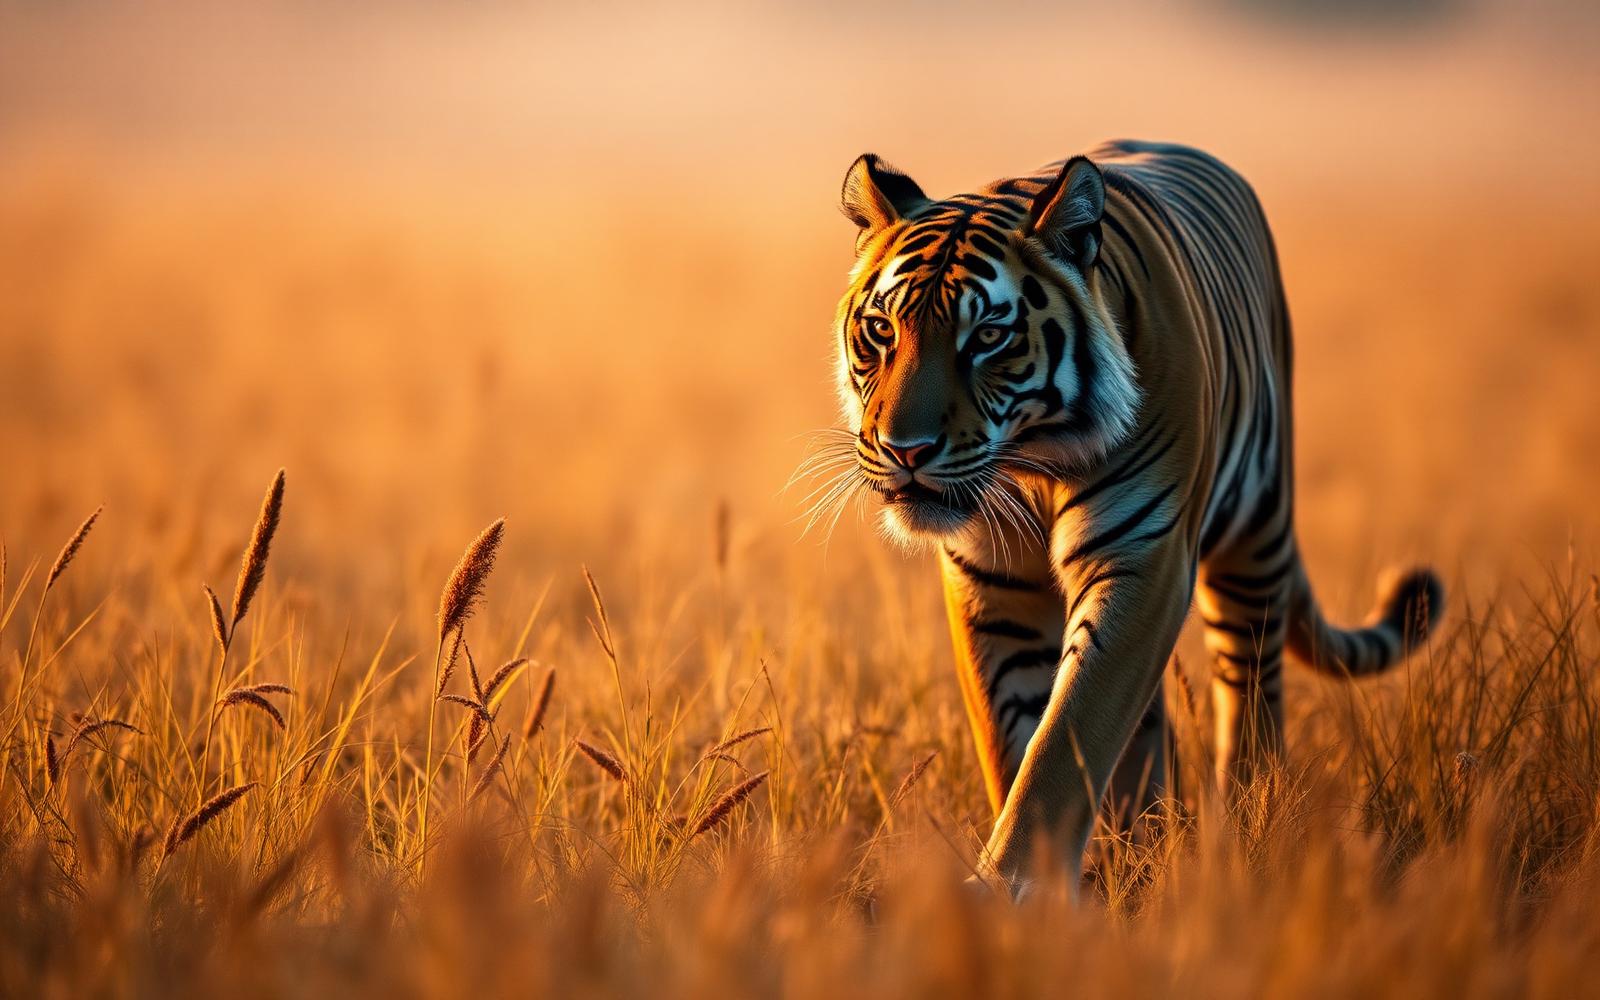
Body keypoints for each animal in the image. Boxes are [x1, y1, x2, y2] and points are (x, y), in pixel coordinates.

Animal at [825, 139, 1444, 898]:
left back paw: (1247, 821)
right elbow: (1015, 734)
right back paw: (1143, 848)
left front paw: (1011, 888)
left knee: (1251, 696)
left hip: (1255, 543)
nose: (904, 451)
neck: (1032, 457)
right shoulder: (990, 583)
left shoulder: (1143, 562)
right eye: (881, 330)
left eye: (990, 337)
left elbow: (1068, 734)